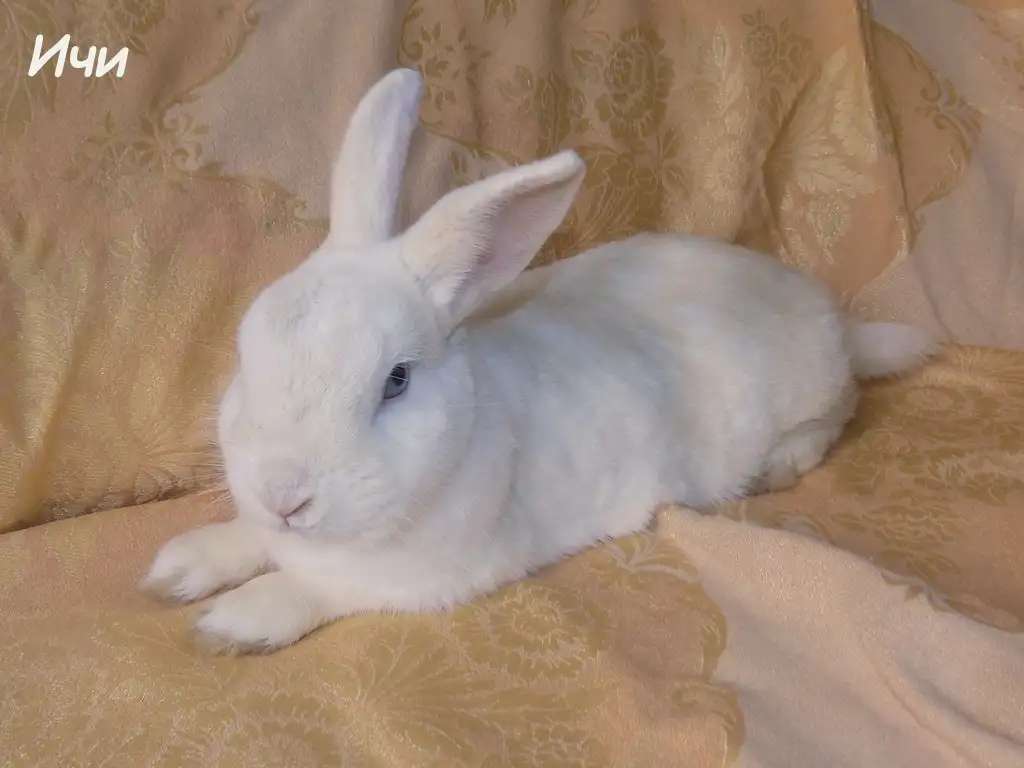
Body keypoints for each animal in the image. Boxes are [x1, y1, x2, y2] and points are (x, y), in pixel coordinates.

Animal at [141, 68, 937, 653]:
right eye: (245, 352)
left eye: (395, 382)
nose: (285, 496)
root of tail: (833, 319)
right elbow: (247, 540)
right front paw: (178, 569)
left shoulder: (425, 575)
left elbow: (321, 588)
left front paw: (230, 624)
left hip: (808, 396)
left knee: (836, 416)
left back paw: (779, 465)